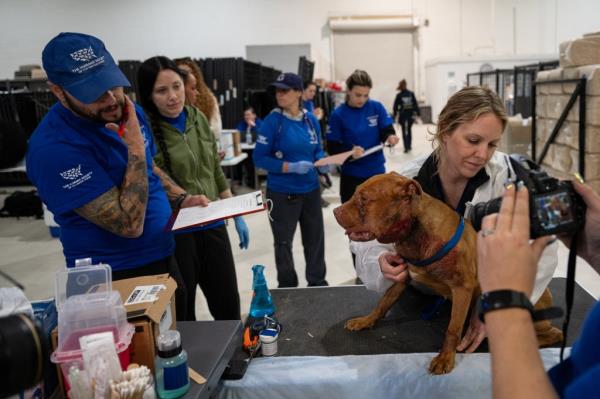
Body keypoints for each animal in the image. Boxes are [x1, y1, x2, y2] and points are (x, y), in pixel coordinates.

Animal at [336, 173, 480, 376]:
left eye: (364, 199)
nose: (335, 211)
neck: (415, 231)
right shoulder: (402, 276)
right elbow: (383, 303)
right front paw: (366, 321)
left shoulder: (462, 288)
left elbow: (453, 328)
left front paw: (445, 357)